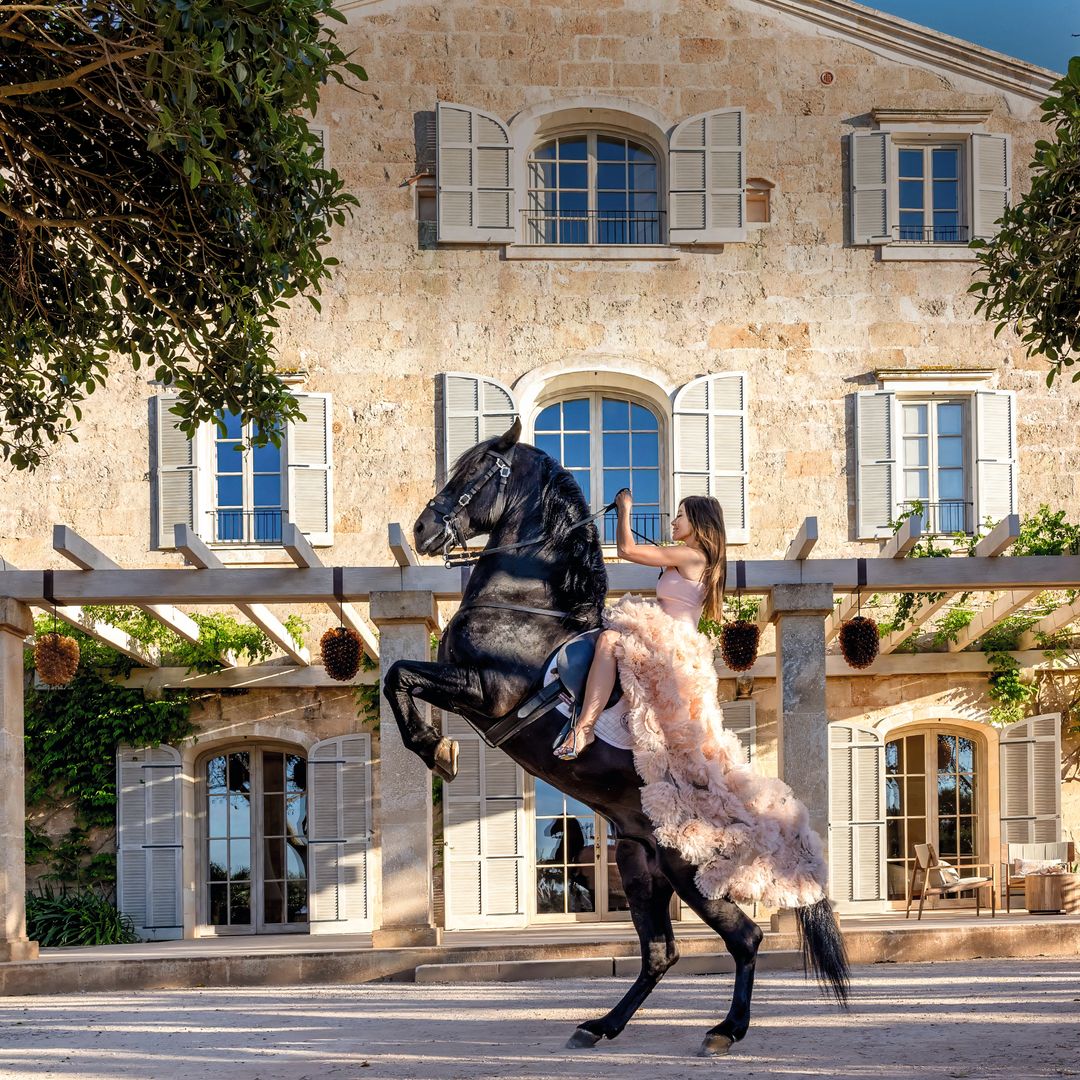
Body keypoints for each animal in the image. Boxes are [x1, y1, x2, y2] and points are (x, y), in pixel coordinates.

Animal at [382, 419, 849, 1056]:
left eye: (475, 473)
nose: (423, 530)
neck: (526, 607)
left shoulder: (485, 690)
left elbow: (397, 675)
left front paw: (438, 750)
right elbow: (398, 676)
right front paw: (437, 747)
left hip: (688, 872)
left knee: (745, 939)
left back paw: (724, 1032)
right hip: (640, 865)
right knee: (660, 953)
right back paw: (600, 1025)